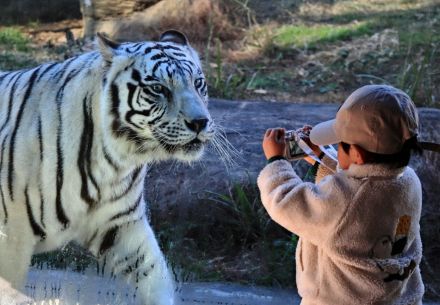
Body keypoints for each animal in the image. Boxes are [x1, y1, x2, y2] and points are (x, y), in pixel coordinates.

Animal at [0, 29, 215, 304]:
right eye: (158, 88)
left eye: (198, 83)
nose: (200, 122)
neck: (114, 161)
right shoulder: (12, 237)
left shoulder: (122, 225)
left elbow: (155, 275)